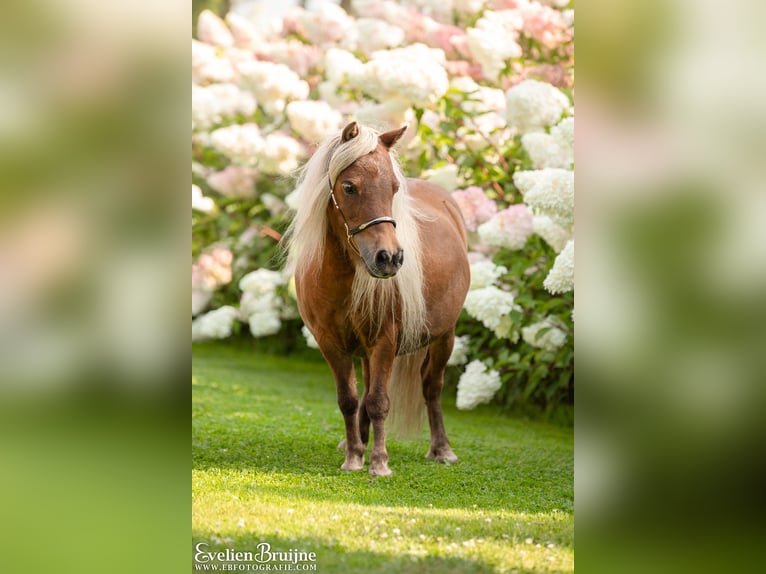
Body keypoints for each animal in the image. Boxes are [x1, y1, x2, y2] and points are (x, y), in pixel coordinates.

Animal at [283, 121, 470, 476]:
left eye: (394, 188)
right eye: (349, 187)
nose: (389, 258)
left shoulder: (385, 340)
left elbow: (379, 401)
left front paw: (379, 462)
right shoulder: (331, 344)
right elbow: (350, 400)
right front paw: (354, 454)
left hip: (444, 337)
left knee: (432, 388)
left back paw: (442, 449)